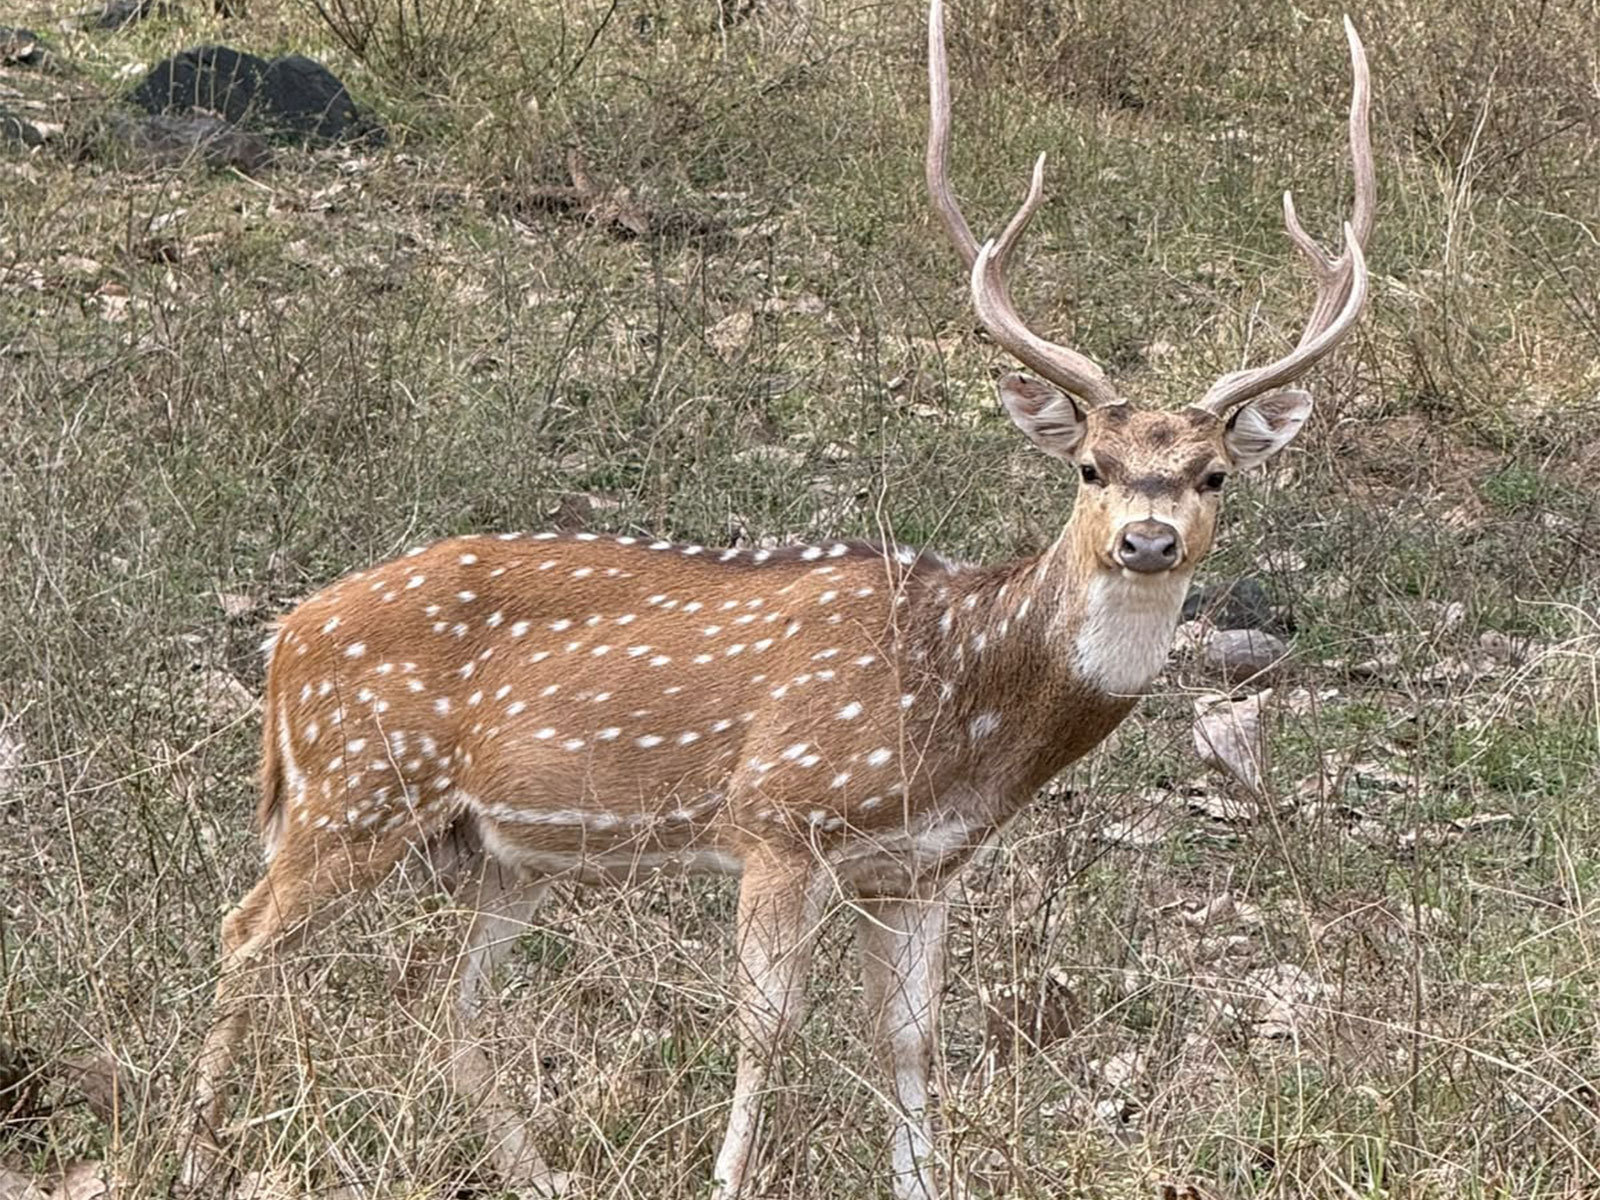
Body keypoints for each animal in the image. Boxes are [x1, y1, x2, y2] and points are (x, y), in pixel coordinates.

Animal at [182, 2, 1372, 1196]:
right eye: (1090, 465)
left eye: (1212, 475)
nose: (1147, 539)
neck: (959, 697)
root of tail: (288, 639)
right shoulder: (778, 816)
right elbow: (766, 1028)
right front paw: (728, 1175)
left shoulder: (921, 869)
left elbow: (910, 1042)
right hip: (354, 786)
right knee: (246, 932)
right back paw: (198, 1143)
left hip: (493, 849)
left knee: (445, 999)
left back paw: (536, 1172)